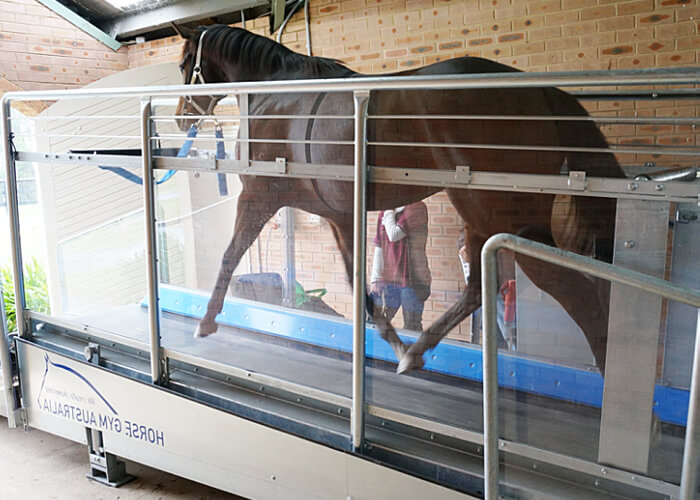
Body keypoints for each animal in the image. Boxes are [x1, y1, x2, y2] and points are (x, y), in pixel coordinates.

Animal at [175, 24, 624, 376]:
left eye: (182, 66)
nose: (181, 116)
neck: (277, 93)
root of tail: (543, 91)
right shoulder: (340, 214)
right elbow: (359, 286)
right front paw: (394, 342)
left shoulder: (258, 195)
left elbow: (230, 254)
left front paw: (206, 321)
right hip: (481, 216)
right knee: (479, 290)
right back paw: (416, 350)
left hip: (501, 215)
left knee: (571, 289)